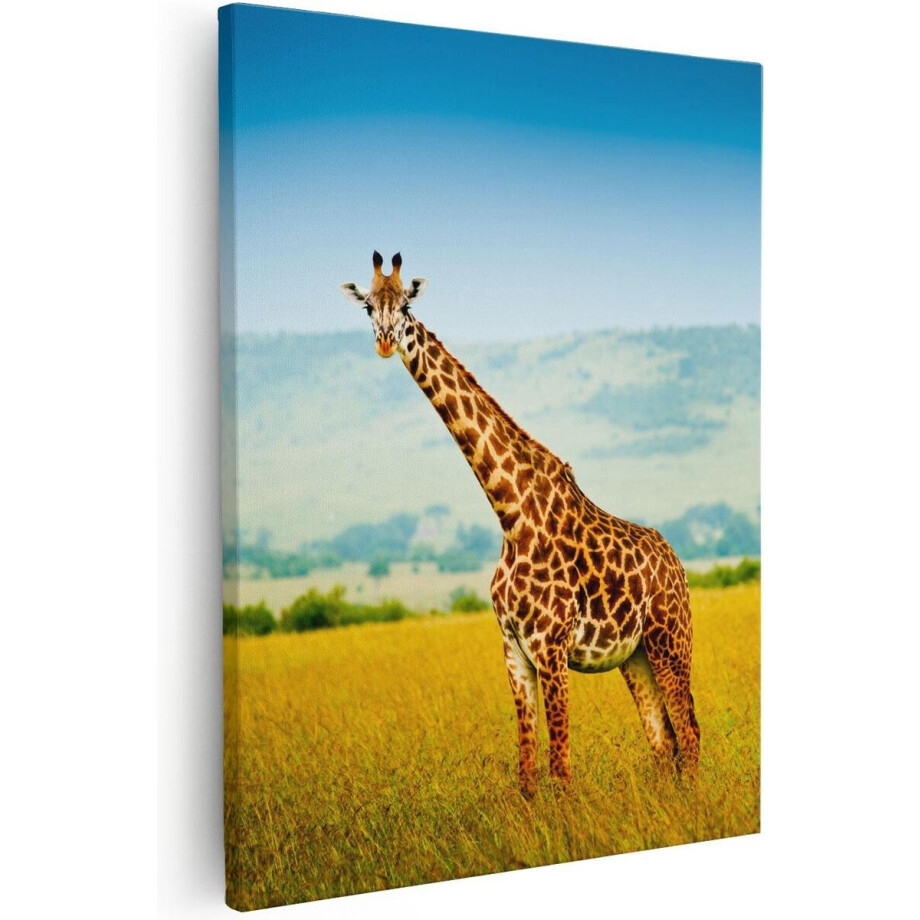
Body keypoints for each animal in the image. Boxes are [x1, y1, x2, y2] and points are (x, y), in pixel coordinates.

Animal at [340, 252, 700, 797]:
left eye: (405, 306)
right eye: (367, 308)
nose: (384, 341)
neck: (510, 513)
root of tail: (678, 565)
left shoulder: (550, 647)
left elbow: (561, 767)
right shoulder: (513, 650)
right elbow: (528, 771)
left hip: (671, 639)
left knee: (691, 734)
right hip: (636, 655)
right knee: (664, 741)